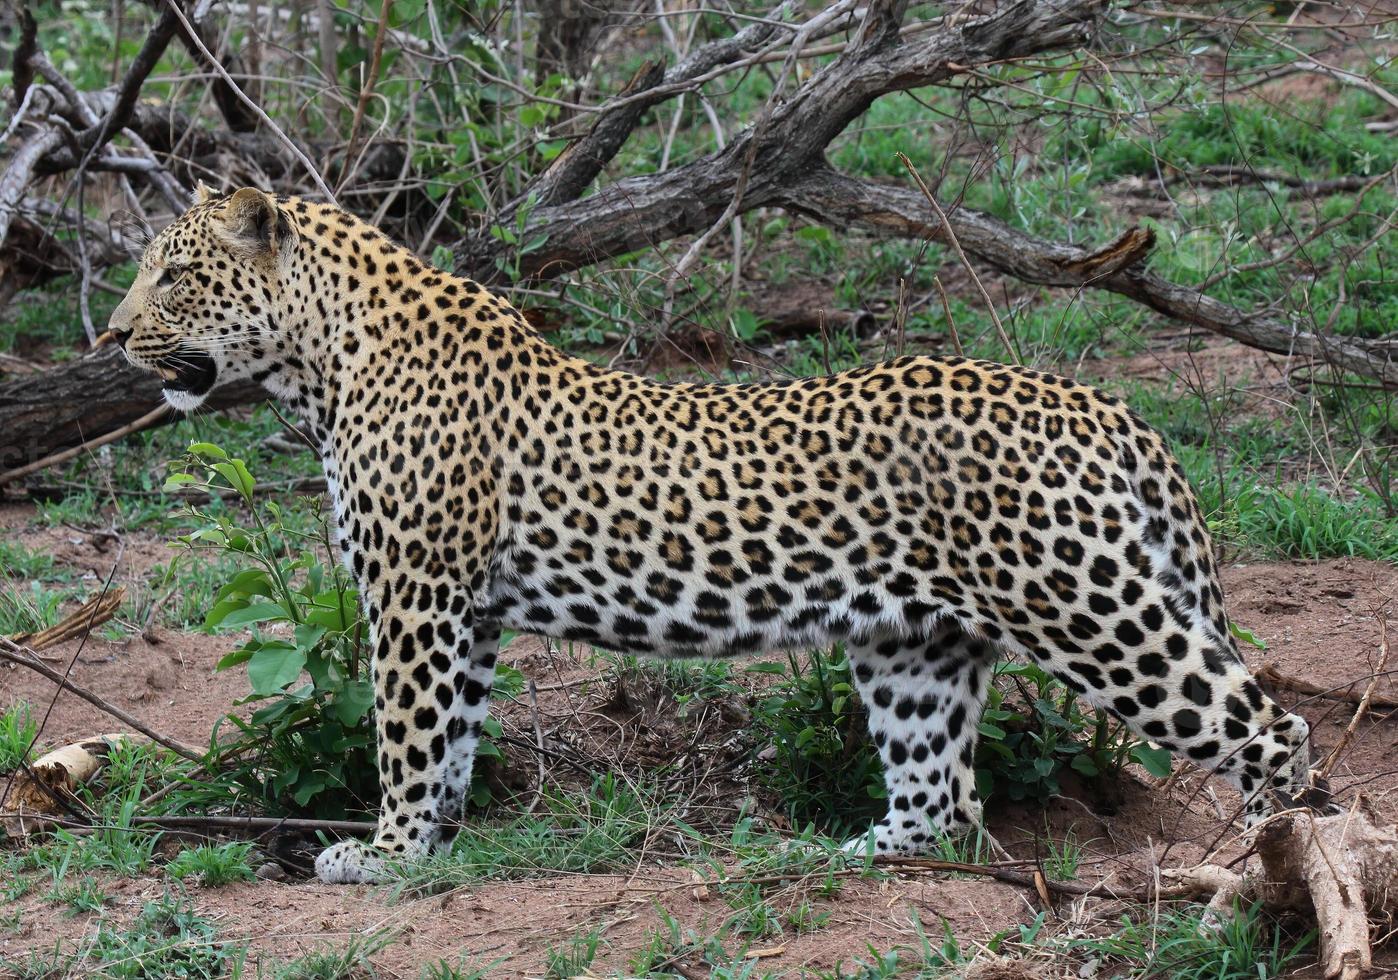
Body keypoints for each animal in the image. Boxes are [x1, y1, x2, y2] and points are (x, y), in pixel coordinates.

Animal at [111, 183, 1319, 877]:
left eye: (175, 273)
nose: (114, 335)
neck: (319, 364)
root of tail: (1104, 405)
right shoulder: (468, 607)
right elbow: (451, 736)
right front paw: (435, 849)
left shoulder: (414, 589)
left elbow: (404, 732)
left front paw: (386, 852)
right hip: (916, 643)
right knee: (941, 792)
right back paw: (847, 853)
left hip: (1089, 608)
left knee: (1272, 727)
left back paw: (1267, 867)